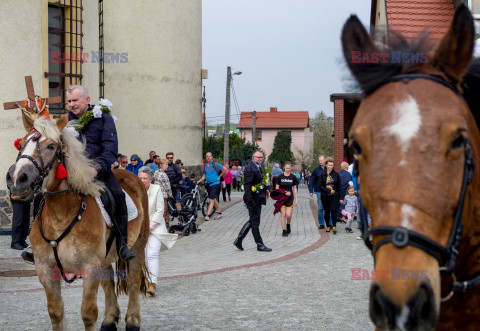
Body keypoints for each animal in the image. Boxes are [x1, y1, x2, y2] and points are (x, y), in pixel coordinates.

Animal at [6, 112, 150, 331]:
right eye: (21, 144)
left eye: (51, 146)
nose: (16, 179)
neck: (62, 213)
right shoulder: (45, 269)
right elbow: (56, 312)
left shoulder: (90, 267)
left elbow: (88, 313)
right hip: (104, 258)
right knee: (108, 284)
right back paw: (110, 319)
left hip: (138, 245)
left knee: (133, 280)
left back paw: (133, 321)